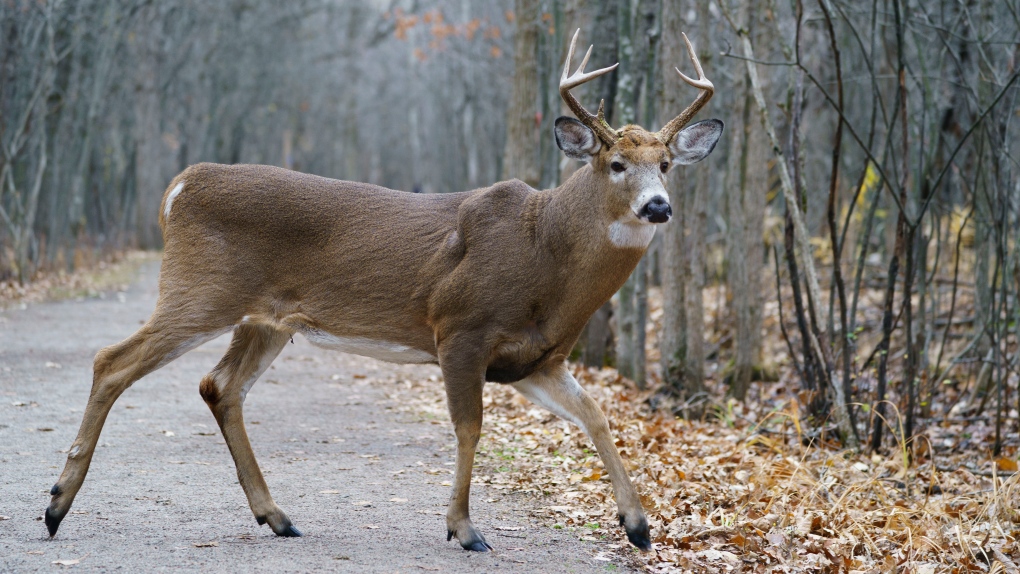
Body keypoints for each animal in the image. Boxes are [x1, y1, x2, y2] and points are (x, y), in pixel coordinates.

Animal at [43, 31, 722, 550]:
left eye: (666, 165)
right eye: (616, 164)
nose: (658, 207)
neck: (545, 254)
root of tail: (178, 187)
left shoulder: (536, 359)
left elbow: (597, 417)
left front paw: (638, 526)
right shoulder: (459, 327)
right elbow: (469, 427)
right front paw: (464, 529)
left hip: (266, 319)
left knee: (220, 385)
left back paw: (277, 516)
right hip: (201, 291)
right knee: (112, 361)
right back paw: (55, 505)